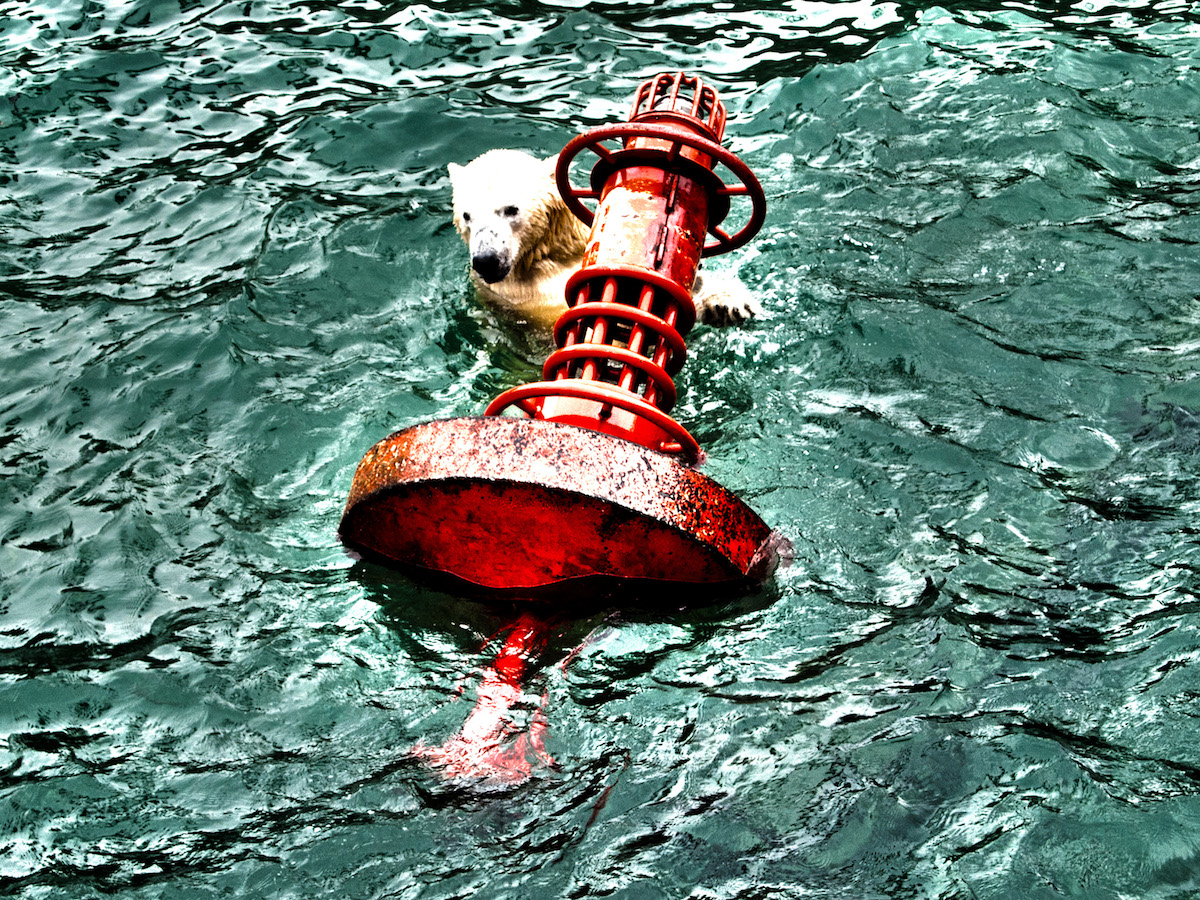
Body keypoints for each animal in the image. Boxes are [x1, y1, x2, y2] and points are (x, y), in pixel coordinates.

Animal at [448, 149, 760, 331]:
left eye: (510, 209)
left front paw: (730, 303)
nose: (486, 260)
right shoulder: (530, 299)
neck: (547, 255)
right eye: (467, 215)